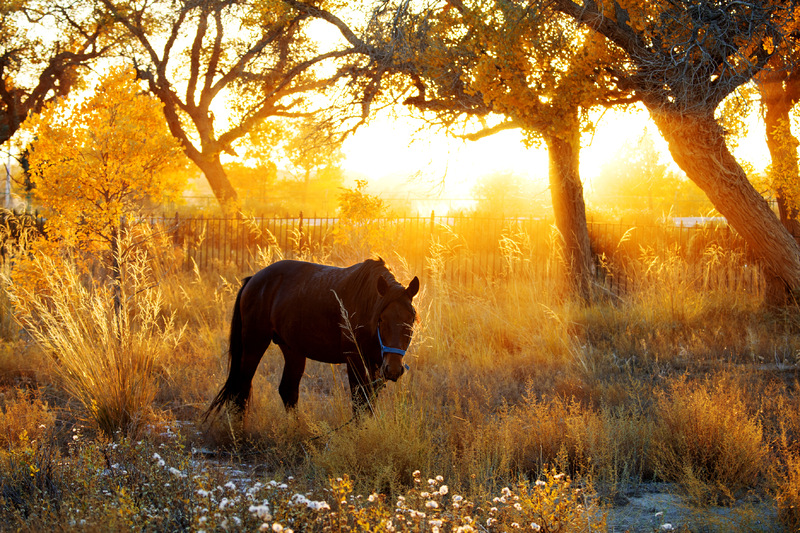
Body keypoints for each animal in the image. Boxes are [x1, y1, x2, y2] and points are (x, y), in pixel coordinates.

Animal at [205, 258, 418, 416]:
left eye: (412, 319)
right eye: (381, 319)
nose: (394, 369)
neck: (364, 305)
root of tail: (253, 279)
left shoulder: (375, 362)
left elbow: (369, 404)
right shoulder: (354, 360)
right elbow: (359, 402)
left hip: (292, 350)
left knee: (288, 391)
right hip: (254, 344)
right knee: (241, 389)